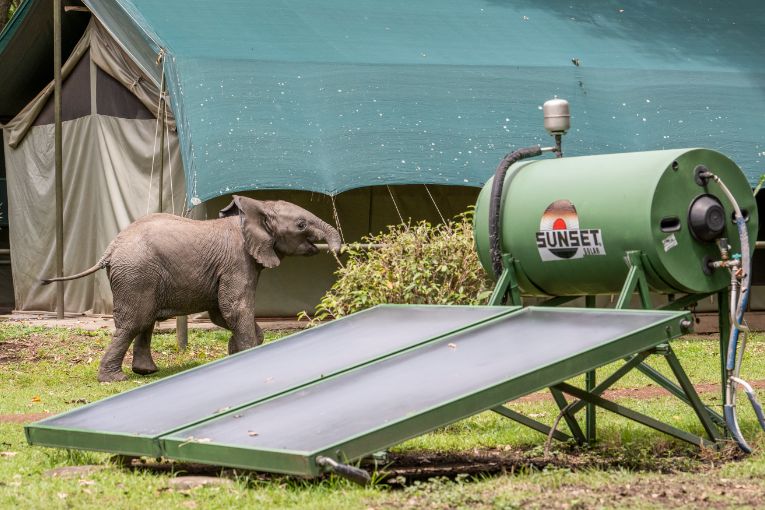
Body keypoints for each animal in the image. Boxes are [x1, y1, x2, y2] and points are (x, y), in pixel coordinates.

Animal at [42, 197, 340, 380]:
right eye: (301, 225)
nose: (336, 251)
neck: (252, 215)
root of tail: (111, 248)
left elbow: (221, 313)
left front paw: (237, 350)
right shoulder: (237, 261)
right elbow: (234, 308)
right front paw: (247, 356)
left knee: (145, 321)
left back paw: (146, 372)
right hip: (136, 274)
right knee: (134, 321)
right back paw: (114, 379)